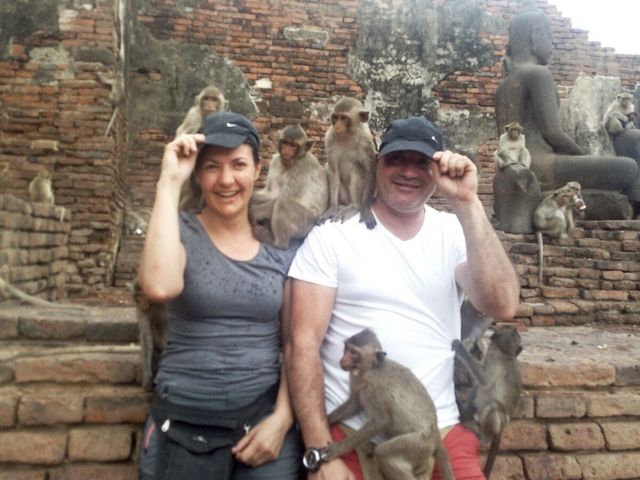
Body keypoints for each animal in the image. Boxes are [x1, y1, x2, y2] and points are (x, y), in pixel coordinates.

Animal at [306, 330, 456, 480]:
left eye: (353, 352)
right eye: (346, 348)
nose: (342, 360)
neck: (370, 370)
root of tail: (435, 431)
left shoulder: (375, 389)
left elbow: (381, 421)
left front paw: (337, 449)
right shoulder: (356, 379)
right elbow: (354, 405)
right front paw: (326, 420)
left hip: (419, 443)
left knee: (384, 454)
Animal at [322, 97, 378, 229]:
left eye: (344, 118)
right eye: (335, 117)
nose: (337, 125)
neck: (347, 135)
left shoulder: (366, 141)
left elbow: (369, 169)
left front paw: (365, 209)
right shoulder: (329, 138)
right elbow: (333, 170)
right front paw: (332, 208)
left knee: (358, 169)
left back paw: (355, 206)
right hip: (344, 196)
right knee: (327, 167)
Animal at [452, 324, 524, 478]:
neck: (506, 352)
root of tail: (503, 428)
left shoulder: (494, 357)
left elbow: (484, 378)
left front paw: (461, 348)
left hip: (498, 421)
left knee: (492, 406)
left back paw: (484, 436)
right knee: (477, 389)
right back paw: (465, 414)